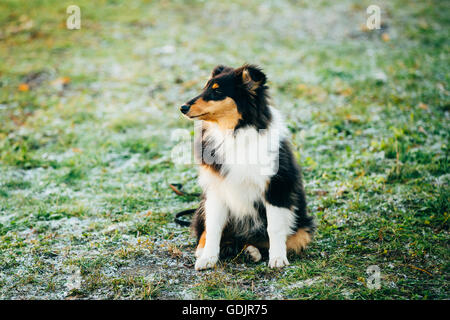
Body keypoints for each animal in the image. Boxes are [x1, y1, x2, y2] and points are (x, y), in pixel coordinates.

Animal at [178, 63, 312, 268]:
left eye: (217, 91)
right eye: (204, 87)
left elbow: (274, 227)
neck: (233, 132)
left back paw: (252, 251)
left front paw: (278, 259)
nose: (182, 107)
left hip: (303, 226)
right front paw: (208, 258)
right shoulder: (217, 189)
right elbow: (213, 227)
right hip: (203, 203)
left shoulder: (276, 187)